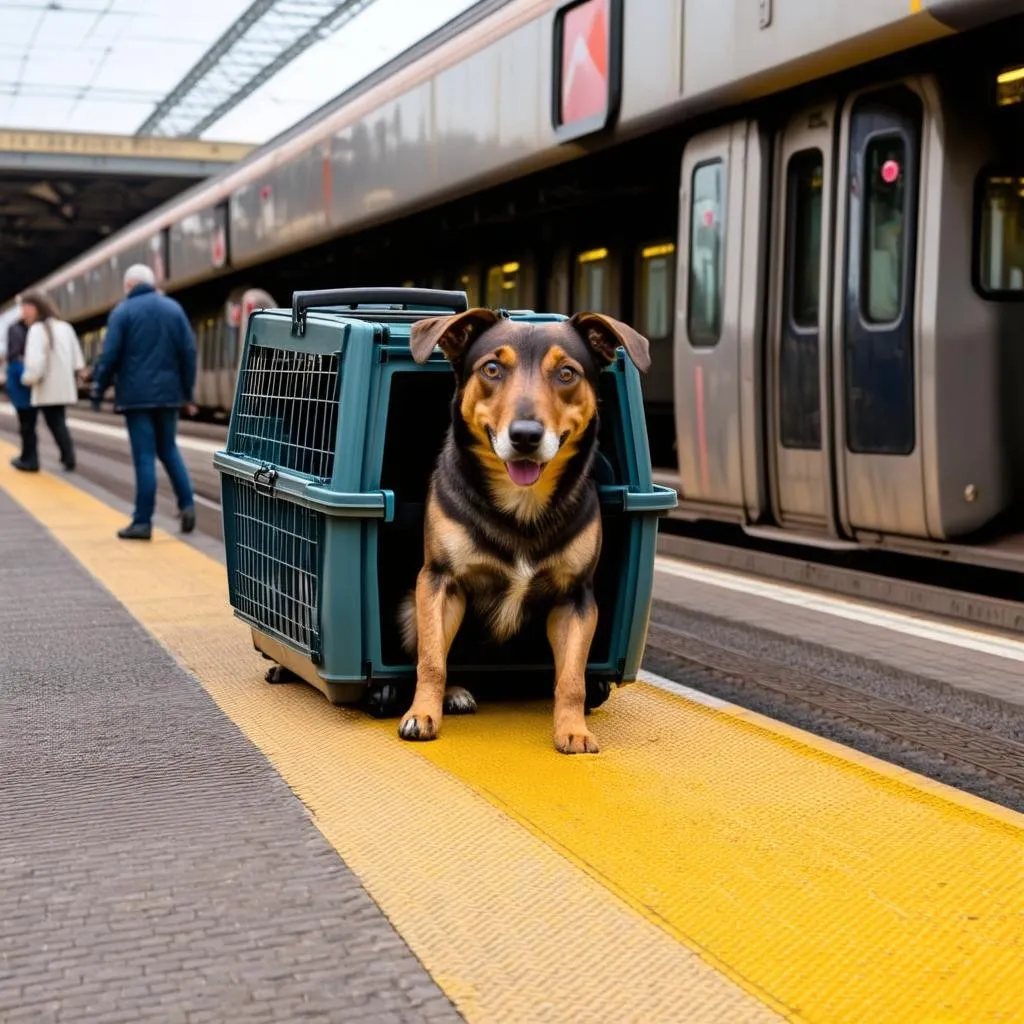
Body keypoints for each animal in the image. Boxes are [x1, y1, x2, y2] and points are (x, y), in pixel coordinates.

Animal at [397, 303, 647, 753]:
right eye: (492, 368)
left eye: (566, 373)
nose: (526, 436)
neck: (521, 503)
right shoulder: (439, 582)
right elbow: (432, 661)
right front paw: (422, 714)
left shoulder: (576, 599)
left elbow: (572, 679)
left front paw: (573, 729)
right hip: (411, 605)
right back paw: (454, 693)